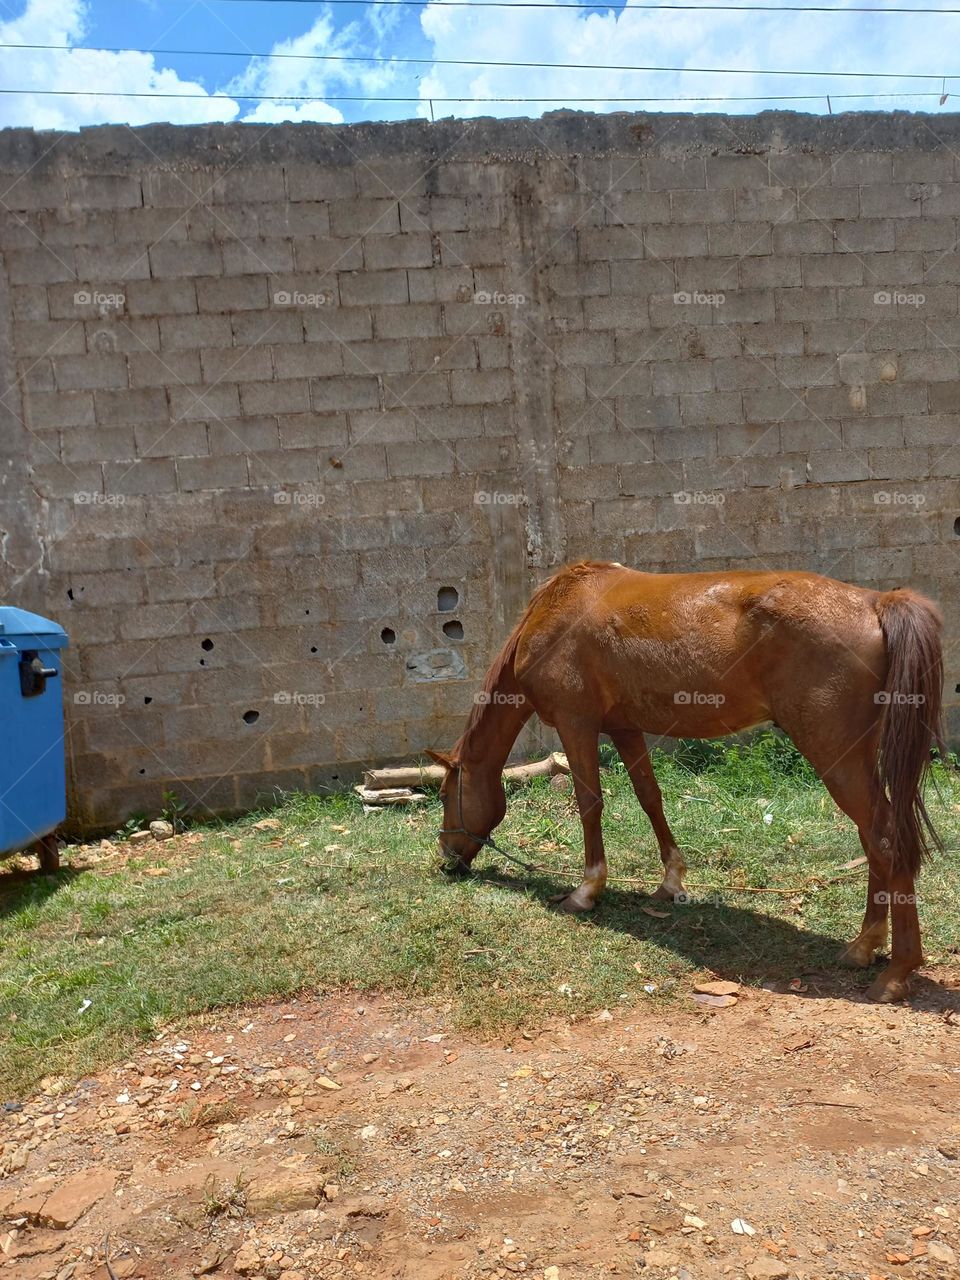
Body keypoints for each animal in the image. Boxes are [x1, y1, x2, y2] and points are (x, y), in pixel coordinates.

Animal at [428, 560, 945, 1004]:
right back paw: (863, 947)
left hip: (835, 756)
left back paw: (896, 973)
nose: (447, 857)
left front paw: (586, 891)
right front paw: (670, 880)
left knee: (884, 837)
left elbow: (590, 802)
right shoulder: (625, 728)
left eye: (445, 793)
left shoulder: (577, 725)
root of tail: (877, 602)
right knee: (873, 837)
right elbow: (649, 797)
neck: (554, 611)